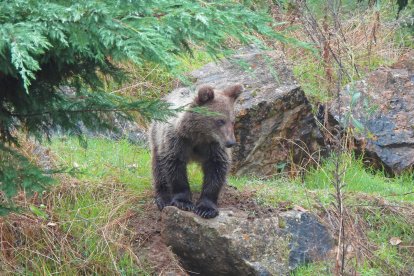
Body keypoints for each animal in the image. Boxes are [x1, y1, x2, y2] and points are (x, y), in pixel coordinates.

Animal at [150, 84, 243, 218]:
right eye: (220, 121)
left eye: (233, 121)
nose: (231, 142)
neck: (199, 136)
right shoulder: (178, 141)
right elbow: (175, 166)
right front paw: (183, 202)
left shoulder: (214, 147)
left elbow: (216, 170)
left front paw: (206, 208)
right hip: (157, 135)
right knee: (158, 167)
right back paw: (163, 198)